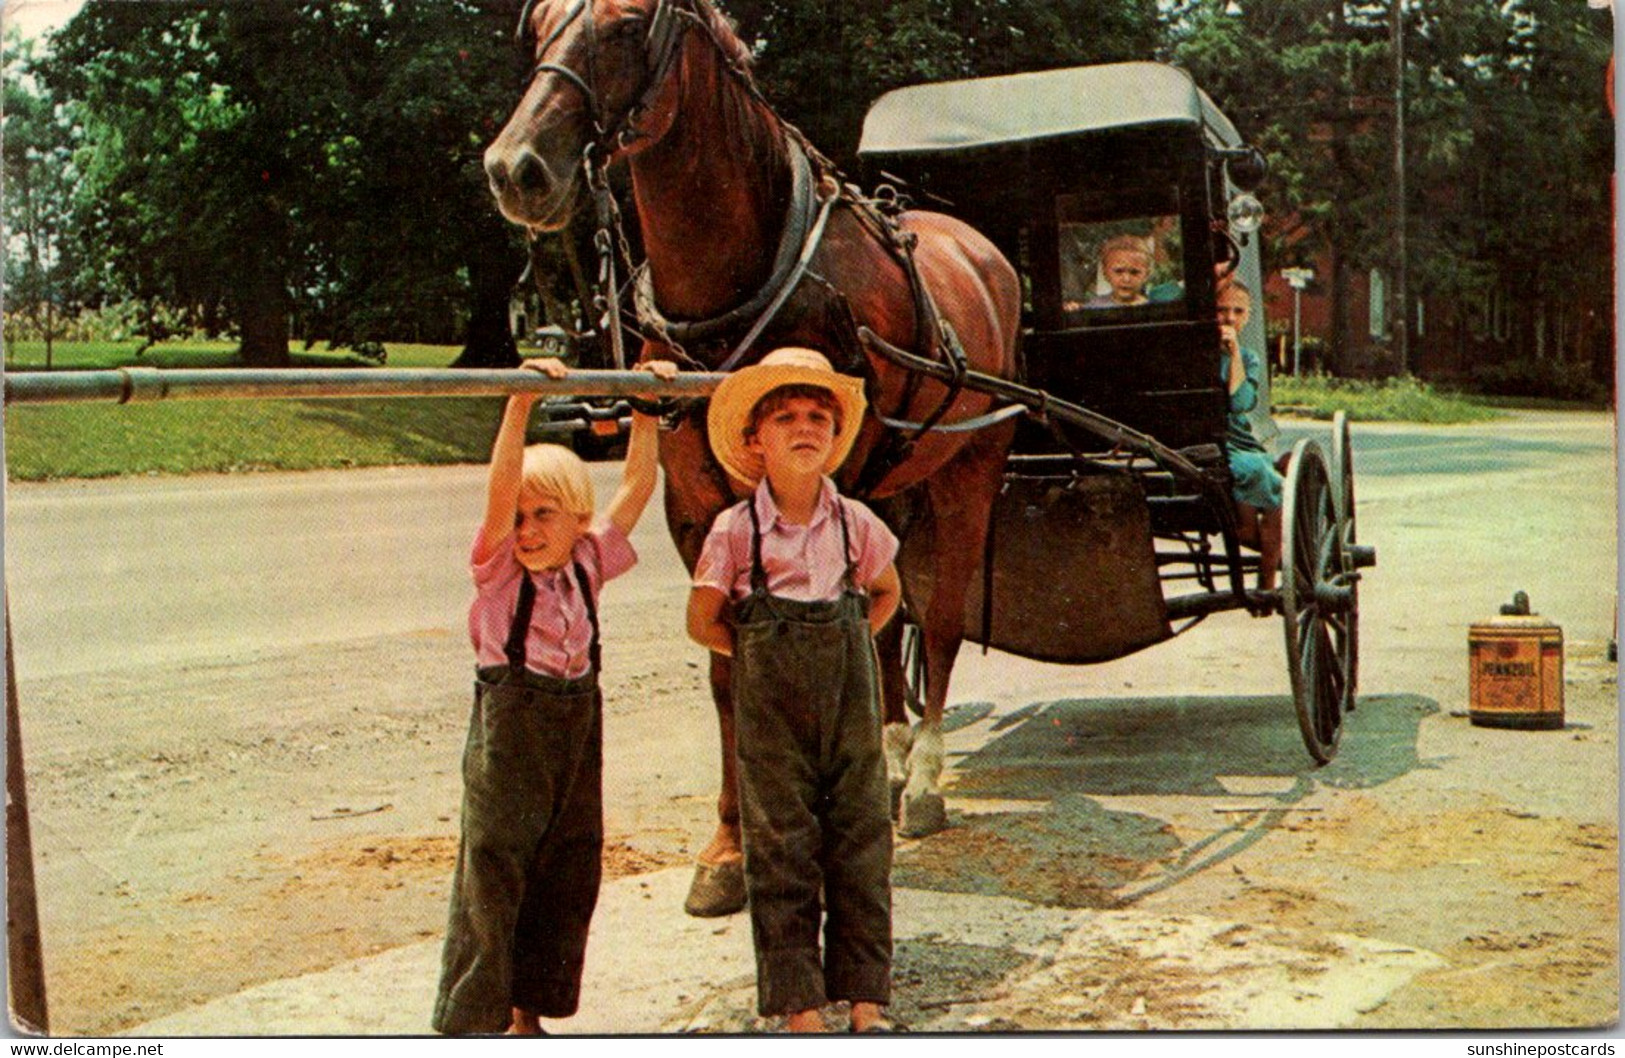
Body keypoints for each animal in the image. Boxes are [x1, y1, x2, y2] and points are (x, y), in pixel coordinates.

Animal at [481, 0, 1014, 916]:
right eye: (540, 24)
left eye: (626, 25)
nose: (516, 168)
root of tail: (984, 255)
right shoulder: (695, 508)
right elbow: (731, 673)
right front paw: (729, 851)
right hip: (893, 486)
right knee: (892, 620)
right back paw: (892, 760)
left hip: (968, 472)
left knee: (939, 622)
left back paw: (923, 782)